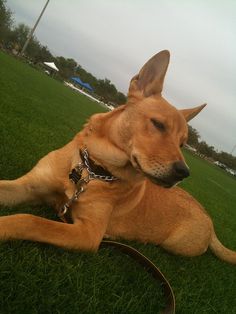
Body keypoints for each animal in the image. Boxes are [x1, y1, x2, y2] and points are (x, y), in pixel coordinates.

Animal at [0, 51, 236, 262]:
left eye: (182, 144)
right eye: (158, 124)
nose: (183, 172)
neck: (92, 169)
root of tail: (209, 219)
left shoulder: (88, 233)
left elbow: (30, 221)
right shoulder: (28, 185)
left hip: (176, 245)